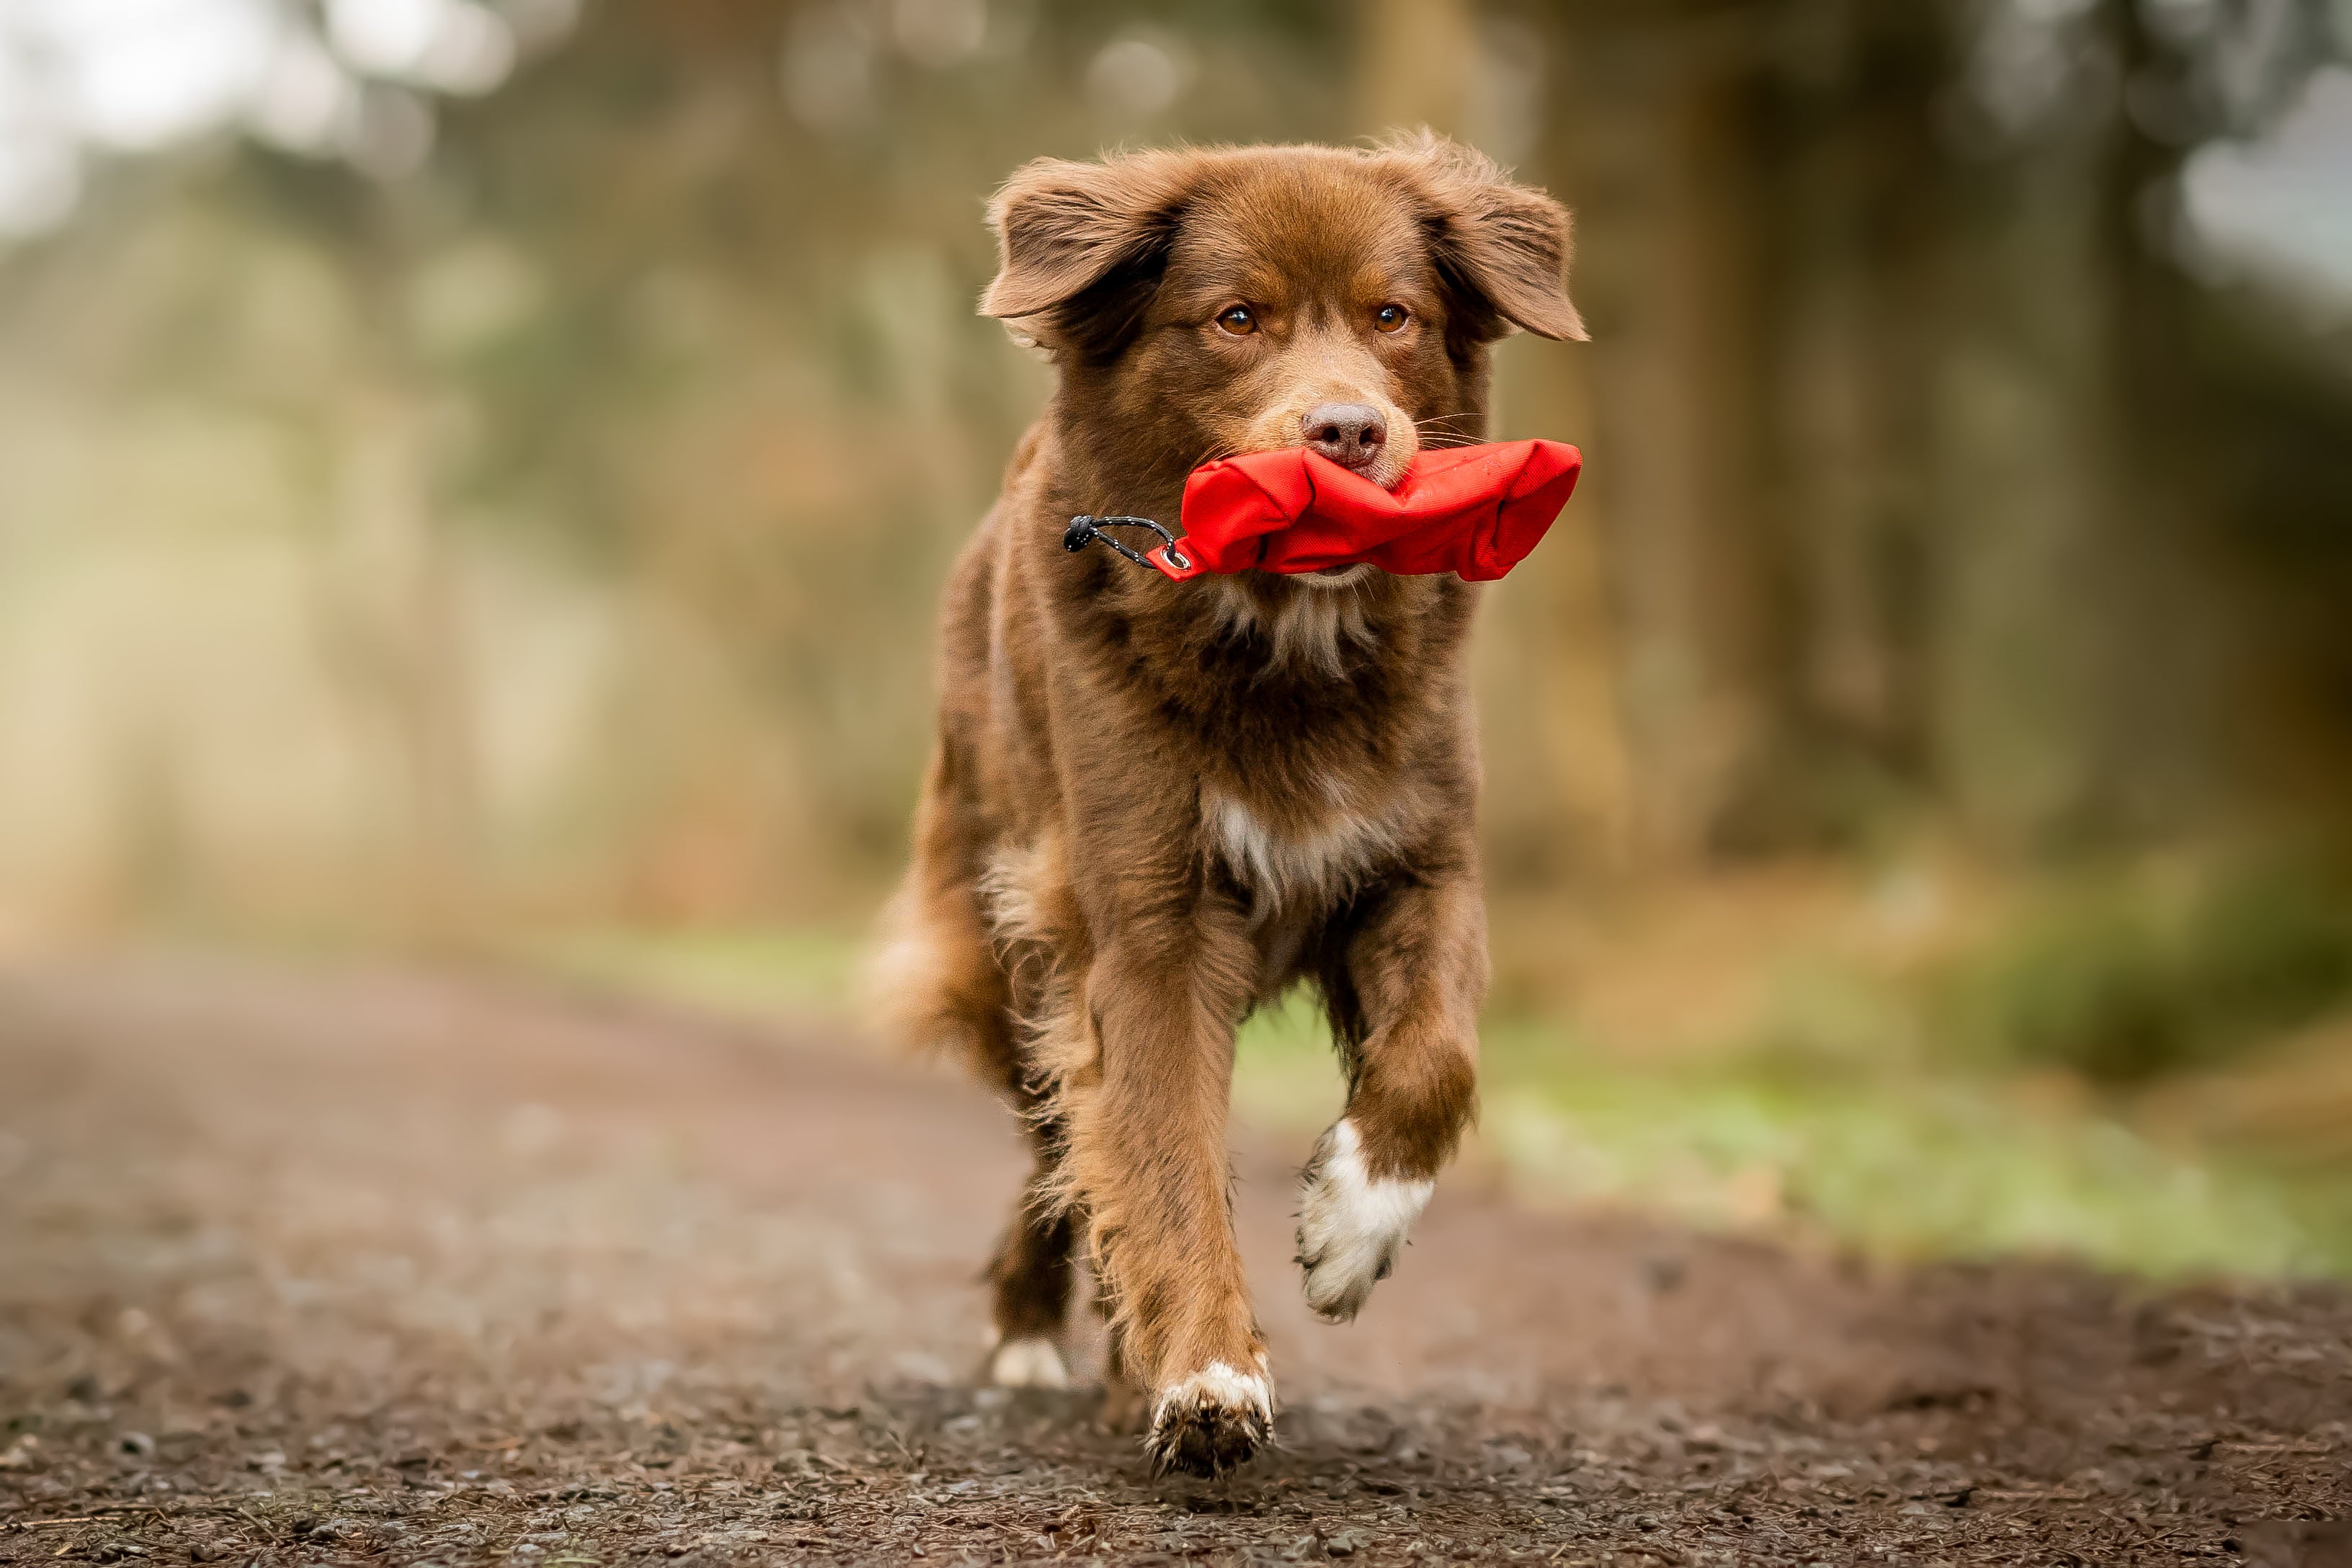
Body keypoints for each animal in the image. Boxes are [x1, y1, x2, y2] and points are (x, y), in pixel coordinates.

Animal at [875, 131, 1590, 1476]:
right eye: (1236, 318)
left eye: (1391, 316)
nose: (1348, 433)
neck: (1287, 638)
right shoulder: (1145, 920)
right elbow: (1157, 1156)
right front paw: (1205, 1374)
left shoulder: (1421, 865)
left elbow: (1439, 1060)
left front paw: (1349, 1227)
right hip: (1010, 938)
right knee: (1058, 1140)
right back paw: (1044, 1331)